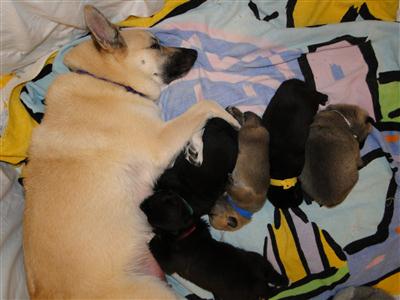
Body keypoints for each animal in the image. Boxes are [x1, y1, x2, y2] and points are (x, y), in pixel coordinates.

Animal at [21, 5, 239, 298]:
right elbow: (204, 105)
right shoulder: (160, 141)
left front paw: (196, 148)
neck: (107, 81)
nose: (194, 52)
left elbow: (195, 121)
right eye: (155, 45)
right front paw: (234, 120)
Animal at [139, 190, 286, 300]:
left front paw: (152, 239)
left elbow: (156, 248)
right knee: (275, 275)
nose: (142, 203)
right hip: (260, 260)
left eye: (151, 205)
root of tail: (260, 281)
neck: (186, 230)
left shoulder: (168, 262)